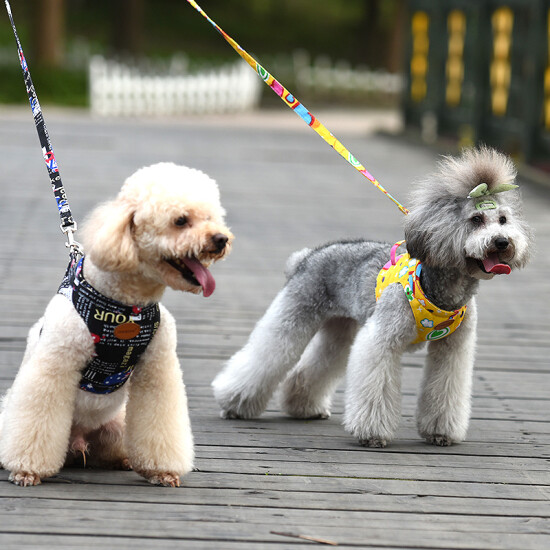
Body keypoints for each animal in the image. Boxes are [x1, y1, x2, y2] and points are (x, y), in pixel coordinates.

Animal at [0, 163, 233, 488]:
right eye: (180, 221)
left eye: (211, 218)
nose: (221, 239)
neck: (125, 307)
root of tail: (79, 441)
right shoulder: (54, 365)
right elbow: (37, 419)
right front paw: (27, 470)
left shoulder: (158, 368)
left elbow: (160, 421)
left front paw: (163, 471)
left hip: (117, 426)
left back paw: (122, 460)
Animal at [215, 147, 536, 448]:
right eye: (476, 219)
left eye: (503, 220)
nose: (503, 241)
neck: (444, 288)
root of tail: (306, 257)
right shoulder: (382, 340)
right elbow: (376, 386)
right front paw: (372, 434)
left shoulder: (453, 349)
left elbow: (445, 388)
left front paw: (440, 433)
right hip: (294, 317)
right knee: (266, 356)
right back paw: (234, 403)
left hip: (339, 329)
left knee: (313, 366)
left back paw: (303, 407)